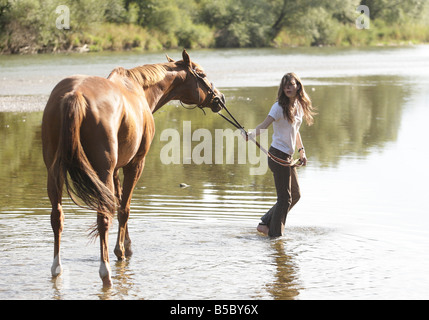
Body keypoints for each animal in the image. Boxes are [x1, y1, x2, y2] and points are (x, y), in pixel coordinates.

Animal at [41, 50, 226, 288]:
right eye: (201, 74)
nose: (220, 98)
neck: (138, 90)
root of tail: (74, 95)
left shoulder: (117, 169)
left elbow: (120, 202)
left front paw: (124, 246)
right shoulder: (135, 163)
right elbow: (124, 209)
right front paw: (121, 250)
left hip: (54, 172)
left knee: (57, 218)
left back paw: (57, 268)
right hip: (102, 172)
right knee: (103, 218)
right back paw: (106, 272)